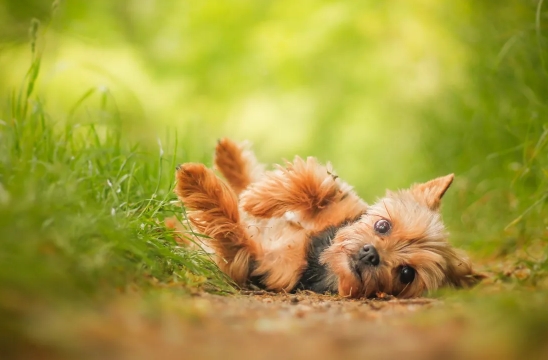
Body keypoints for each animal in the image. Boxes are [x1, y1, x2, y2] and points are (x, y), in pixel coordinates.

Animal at [173, 138, 482, 298]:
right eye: (383, 225)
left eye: (406, 274)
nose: (371, 254)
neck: (318, 255)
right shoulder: (339, 205)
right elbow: (316, 185)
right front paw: (259, 199)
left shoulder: (251, 261)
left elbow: (230, 226)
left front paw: (196, 182)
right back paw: (229, 157)